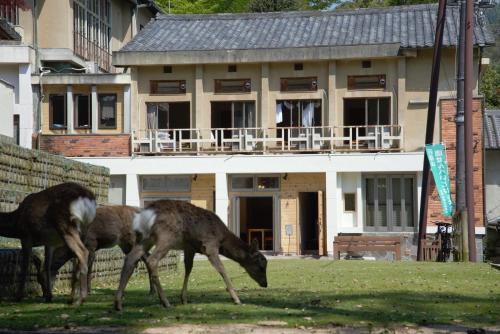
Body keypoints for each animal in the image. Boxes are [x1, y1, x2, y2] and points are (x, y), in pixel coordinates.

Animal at [114, 198, 268, 310]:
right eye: (261, 265)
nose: (265, 284)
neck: (222, 239)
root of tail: (145, 215)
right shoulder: (210, 245)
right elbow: (222, 269)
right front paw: (236, 298)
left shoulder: (190, 247)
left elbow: (188, 268)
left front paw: (184, 298)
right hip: (166, 236)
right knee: (152, 260)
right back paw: (165, 301)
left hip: (144, 238)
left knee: (130, 258)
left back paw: (118, 303)